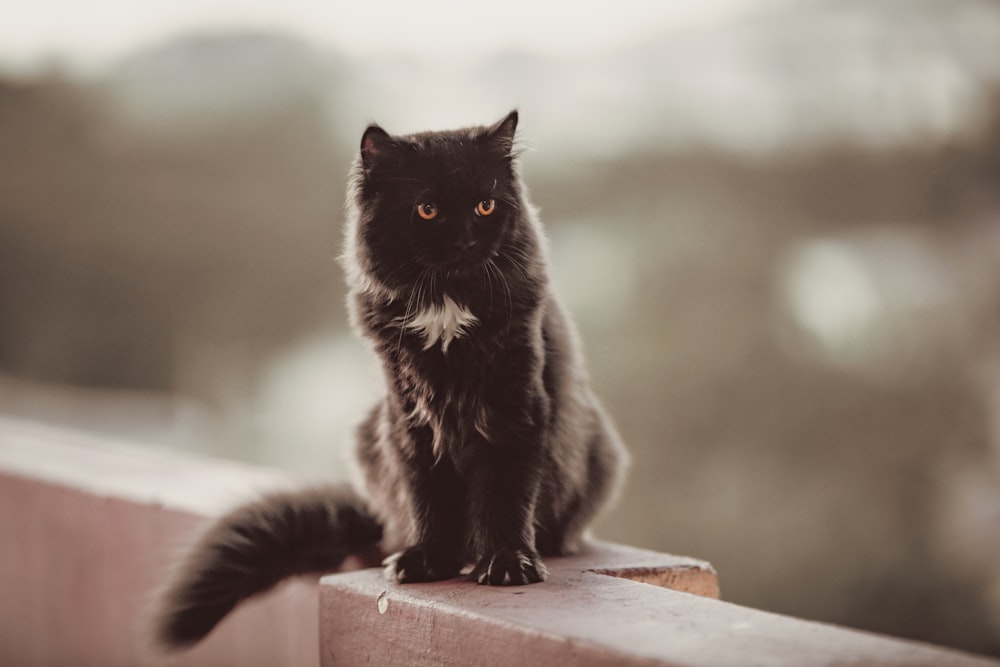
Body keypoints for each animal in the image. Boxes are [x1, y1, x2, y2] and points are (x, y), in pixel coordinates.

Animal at [154, 112, 624, 648]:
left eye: (484, 206)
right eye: (427, 209)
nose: (464, 240)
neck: (446, 306)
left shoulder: (516, 409)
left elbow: (505, 497)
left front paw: (507, 563)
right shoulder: (410, 418)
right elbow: (428, 497)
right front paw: (429, 559)